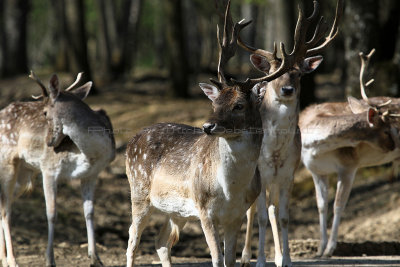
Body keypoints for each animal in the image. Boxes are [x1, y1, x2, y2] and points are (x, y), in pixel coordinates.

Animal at [0, 72, 115, 266]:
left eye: (45, 112)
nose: (48, 143)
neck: (91, 153)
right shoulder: (48, 168)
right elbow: (51, 213)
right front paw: (49, 259)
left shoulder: (91, 174)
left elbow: (89, 212)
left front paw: (95, 258)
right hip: (7, 163)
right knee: (6, 211)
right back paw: (12, 260)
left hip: (24, 174)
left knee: (2, 207)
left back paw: (3, 258)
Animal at [238, 1, 344, 266]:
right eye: (273, 75)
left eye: (297, 73)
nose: (287, 89)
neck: (275, 153)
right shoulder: (260, 173)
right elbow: (260, 216)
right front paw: (260, 261)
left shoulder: (289, 174)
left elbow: (283, 216)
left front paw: (285, 259)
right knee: (250, 210)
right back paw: (244, 257)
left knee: (272, 209)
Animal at [300, 49, 400, 258]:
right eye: (387, 131)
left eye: (393, 129)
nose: (392, 145)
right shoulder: (315, 170)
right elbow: (321, 206)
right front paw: (319, 249)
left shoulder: (349, 165)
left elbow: (338, 205)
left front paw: (330, 249)